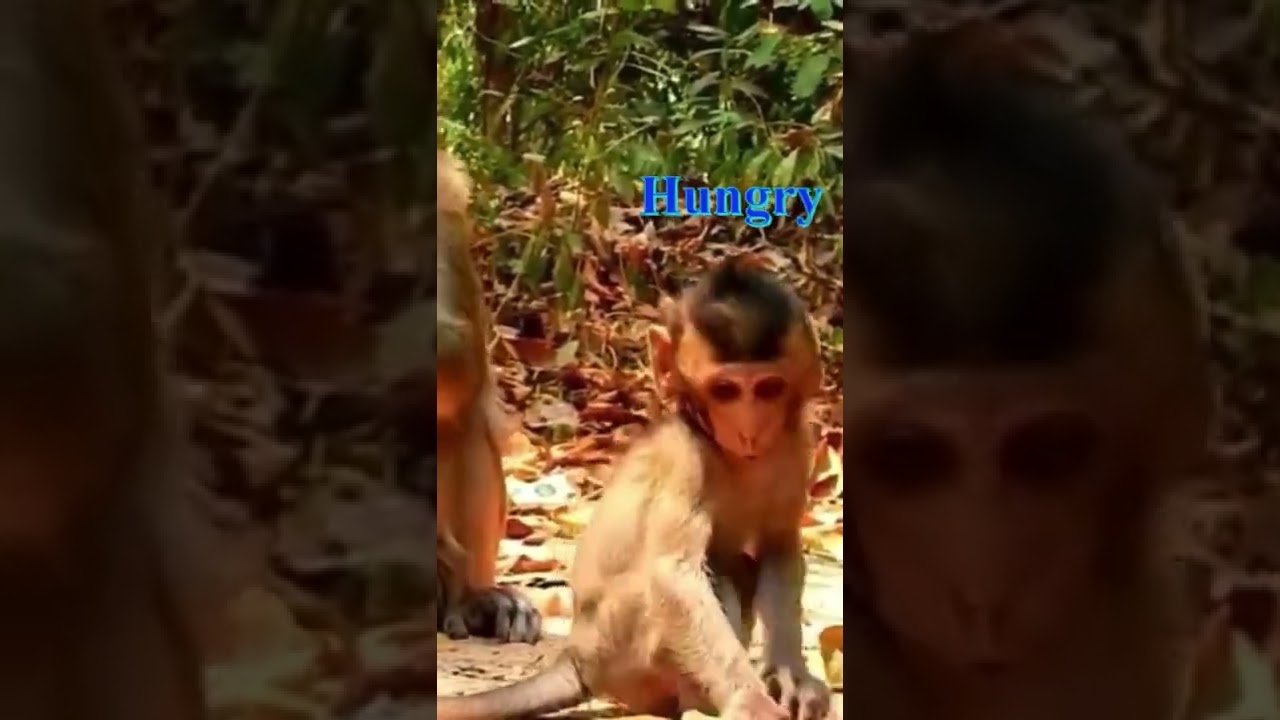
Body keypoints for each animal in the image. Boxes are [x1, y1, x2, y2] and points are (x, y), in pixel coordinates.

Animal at [438, 259, 833, 720]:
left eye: (769, 388)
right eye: (725, 390)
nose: (749, 431)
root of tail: (576, 658)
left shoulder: (798, 445)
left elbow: (778, 545)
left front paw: (792, 678)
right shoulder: (685, 459)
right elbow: (673, 573)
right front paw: (750, 701)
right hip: (622, 644)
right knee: (711, 572)